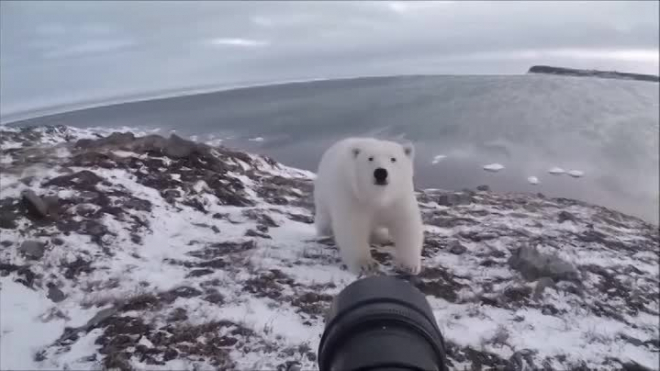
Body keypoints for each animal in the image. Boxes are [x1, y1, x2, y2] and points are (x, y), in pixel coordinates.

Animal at [314, 138, 422, 274]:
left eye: (393, 159)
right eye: (370, 158)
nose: (380, 172)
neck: (376, 197)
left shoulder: (399, 198)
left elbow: (406, 225)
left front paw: (409, 265)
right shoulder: (352, 196)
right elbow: (353, 227)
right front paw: (365, 264)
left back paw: (382, 237)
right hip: (323, 196)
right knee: (324, 220)